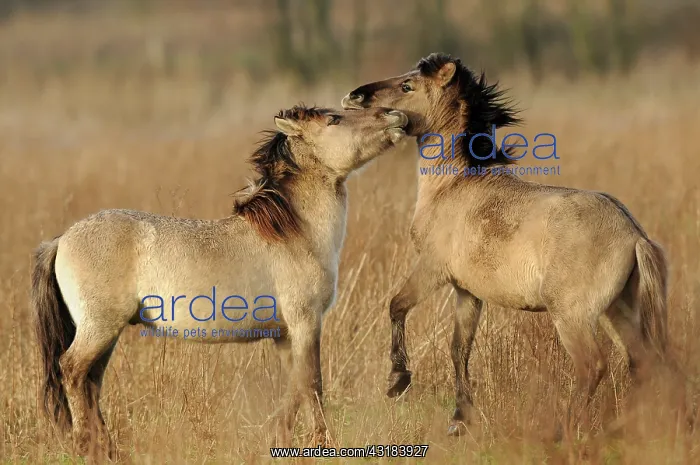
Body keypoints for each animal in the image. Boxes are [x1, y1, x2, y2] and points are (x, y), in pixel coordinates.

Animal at [31, 104, 408, 459]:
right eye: (334, 119)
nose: (395, 115)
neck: (294, 233)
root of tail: (61, 240)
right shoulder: (305, 322)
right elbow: (311, 382)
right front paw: (318, 443)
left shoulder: (286, 335)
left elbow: (296, 386)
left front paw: (282, 439)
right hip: (100, 327)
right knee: (72, 370)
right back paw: (87, 446)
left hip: (104, 332)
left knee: (91, 381)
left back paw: (106, 449)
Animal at [341, 53, 668, 438]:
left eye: (408, 86)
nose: (354, 96)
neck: (451, 186)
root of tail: (634, 235)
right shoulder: (467, 291)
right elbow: (459, 348)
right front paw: (460, 419)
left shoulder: (433, 269)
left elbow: (397, 305)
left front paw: (397, 380)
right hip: (617, 310)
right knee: (641, 362)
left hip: (572, 316)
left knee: (593, 366)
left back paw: (562, 430)